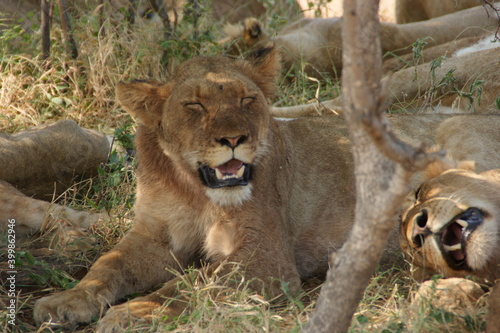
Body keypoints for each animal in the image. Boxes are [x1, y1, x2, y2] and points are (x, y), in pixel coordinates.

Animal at [33, 45, 500, 330]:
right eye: (195, 105)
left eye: (247, 100)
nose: (234, 139)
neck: (194, 189)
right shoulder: (154, 235)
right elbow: (107, 264)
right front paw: (66, 301)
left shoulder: (266, 257)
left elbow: (193, 281)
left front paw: (134, 312)